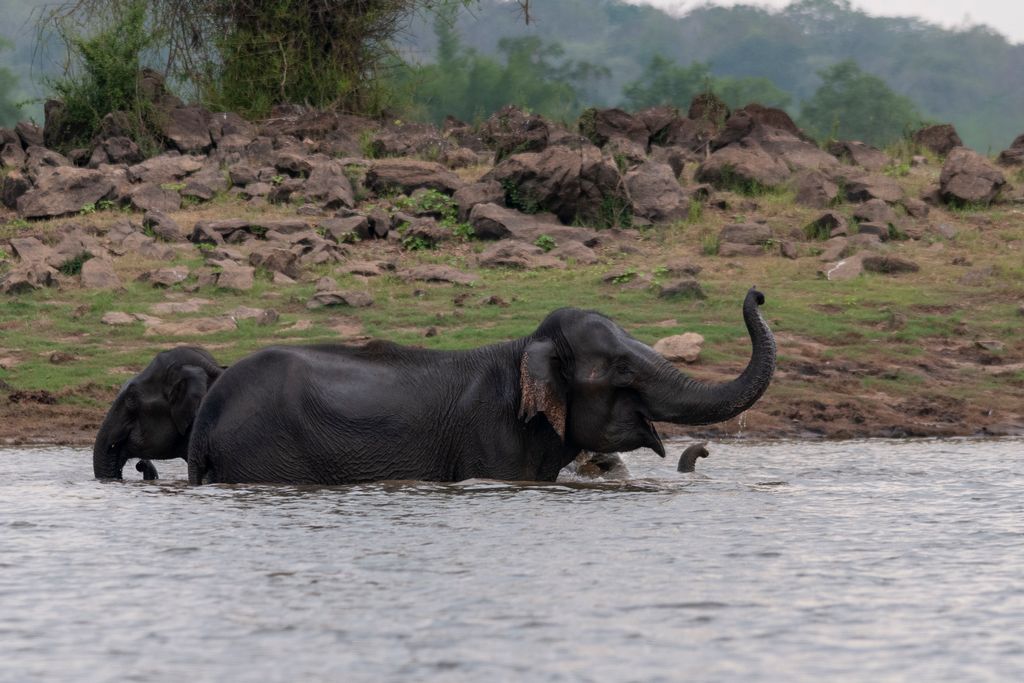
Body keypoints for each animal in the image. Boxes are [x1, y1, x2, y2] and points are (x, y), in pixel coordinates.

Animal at [187, 288, 775, 485]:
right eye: (623, 371)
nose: (759, 294)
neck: (523, 349)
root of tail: (208, 416)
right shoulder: (490, 437)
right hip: (266, 454)